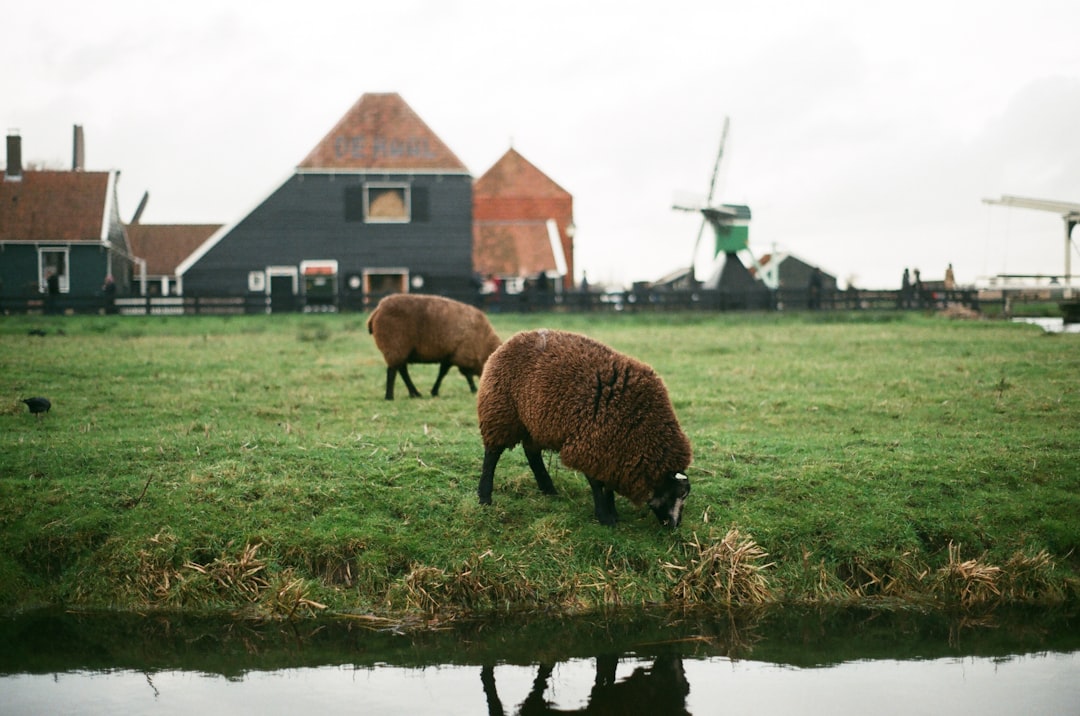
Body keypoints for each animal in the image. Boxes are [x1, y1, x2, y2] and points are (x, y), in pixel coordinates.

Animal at [367, 293, 501, 399]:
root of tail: (377, 309)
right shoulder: (463, 354)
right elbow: (466, 375)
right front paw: (474, 389)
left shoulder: (450, 355)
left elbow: (442, 373)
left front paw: (434, 391)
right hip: (395, 345)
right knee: (392, 371)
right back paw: (389, 396)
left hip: (400, 349)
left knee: (402, 370)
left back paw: (414, 393)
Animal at [479, 328, 691, 527]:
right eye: (676, 494)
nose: (675, 525)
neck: (641, 426)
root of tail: (515, 338)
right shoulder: (591, 443)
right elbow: (597, 484)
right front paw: (605, 517)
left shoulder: (613, 451)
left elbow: (608, 484)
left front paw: (613, 512)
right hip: (500, 412)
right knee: (492, 454)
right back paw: (484, 497)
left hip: (533, 423)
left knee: (532, 453)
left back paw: (549, 489)